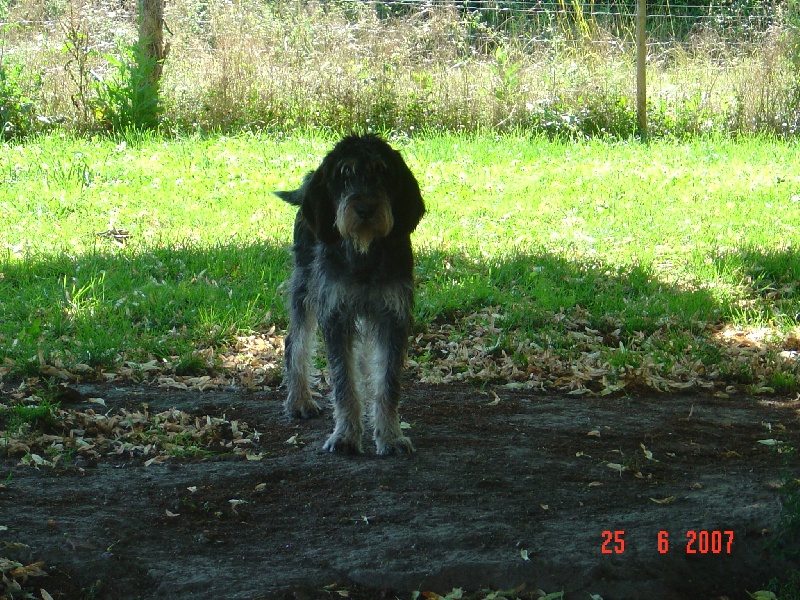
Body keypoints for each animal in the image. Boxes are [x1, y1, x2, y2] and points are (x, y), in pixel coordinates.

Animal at [276, 136, 424, 454]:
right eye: (344, 174)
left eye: (383, 173)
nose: (365, 209)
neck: (364, 253)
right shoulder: (336, 315)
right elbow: (345, 382)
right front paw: (345, 435)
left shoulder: (392, 316)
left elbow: (387, 382)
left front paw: (390, 435)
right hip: (306, 287)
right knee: (295, 342)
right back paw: (299, 400)